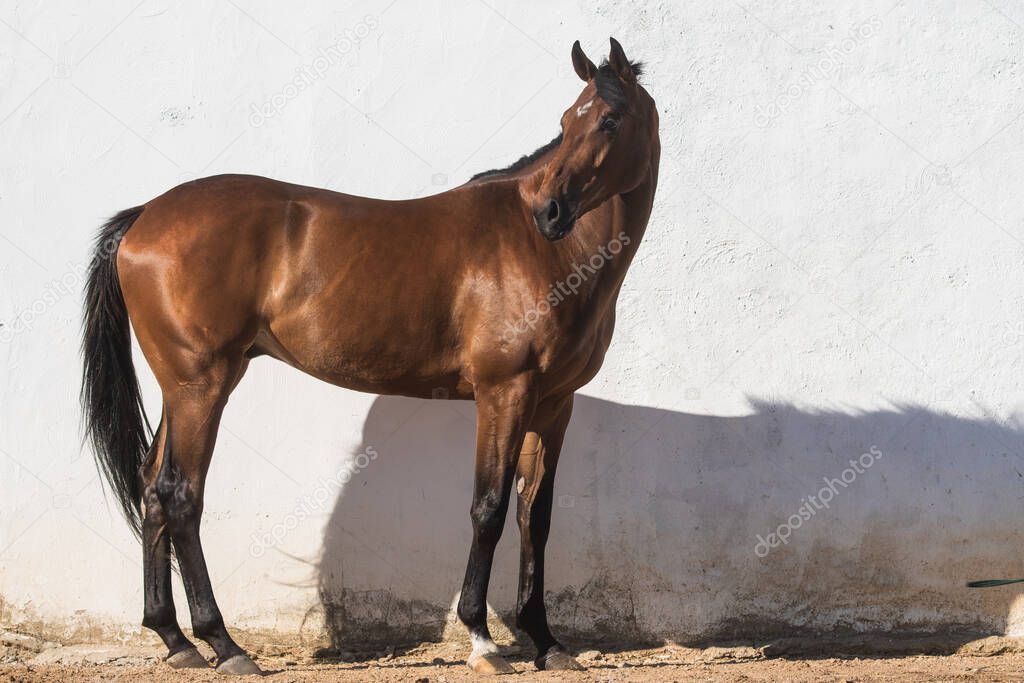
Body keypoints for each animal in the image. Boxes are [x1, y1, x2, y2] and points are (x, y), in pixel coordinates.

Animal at [77, 40, 655, 675]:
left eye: (608, 119)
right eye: (567, 121)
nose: (550, 212)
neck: (548, 255)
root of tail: (144, 216)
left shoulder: (553, 404)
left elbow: (536, 515)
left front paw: (547, 642)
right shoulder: (504, 393)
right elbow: (490, 508)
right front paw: (482, 640)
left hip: (179, 388)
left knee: (152, 489)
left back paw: (175, 640)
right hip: (202, 385)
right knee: (181, 495)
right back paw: (225, 645)